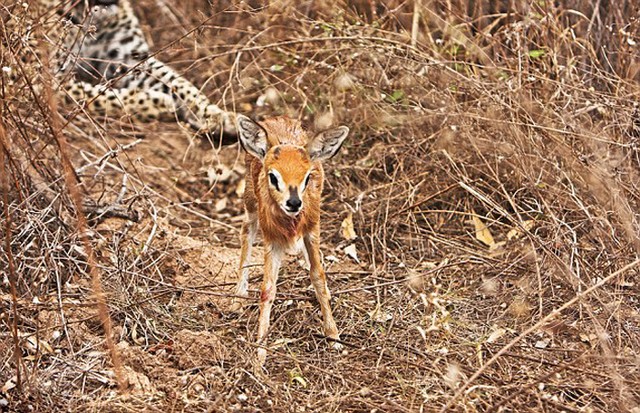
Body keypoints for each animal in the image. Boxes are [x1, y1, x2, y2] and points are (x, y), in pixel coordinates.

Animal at [2, 0, 238, 140]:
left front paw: (219, 116)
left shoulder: (130, 58)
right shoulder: (33, 74)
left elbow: (177, 82)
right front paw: (159, 104)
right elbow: (96, 97)